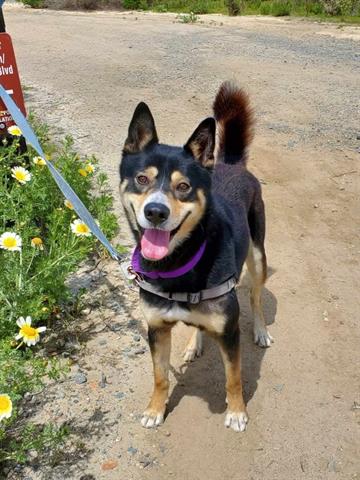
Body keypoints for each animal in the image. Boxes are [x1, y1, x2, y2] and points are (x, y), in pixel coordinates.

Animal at [119, 80, 272, 434]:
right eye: (142, 179)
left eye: (184, 186)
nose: (156, 212)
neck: (178, 265)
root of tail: (231, 164)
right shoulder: (156, 329)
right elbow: (160, 377)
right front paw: (155, 409)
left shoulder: (229, 332)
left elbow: (234, 378)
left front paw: (237, 412)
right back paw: (194, 344)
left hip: (257, 256)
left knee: (256, 298)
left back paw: (260, 330)